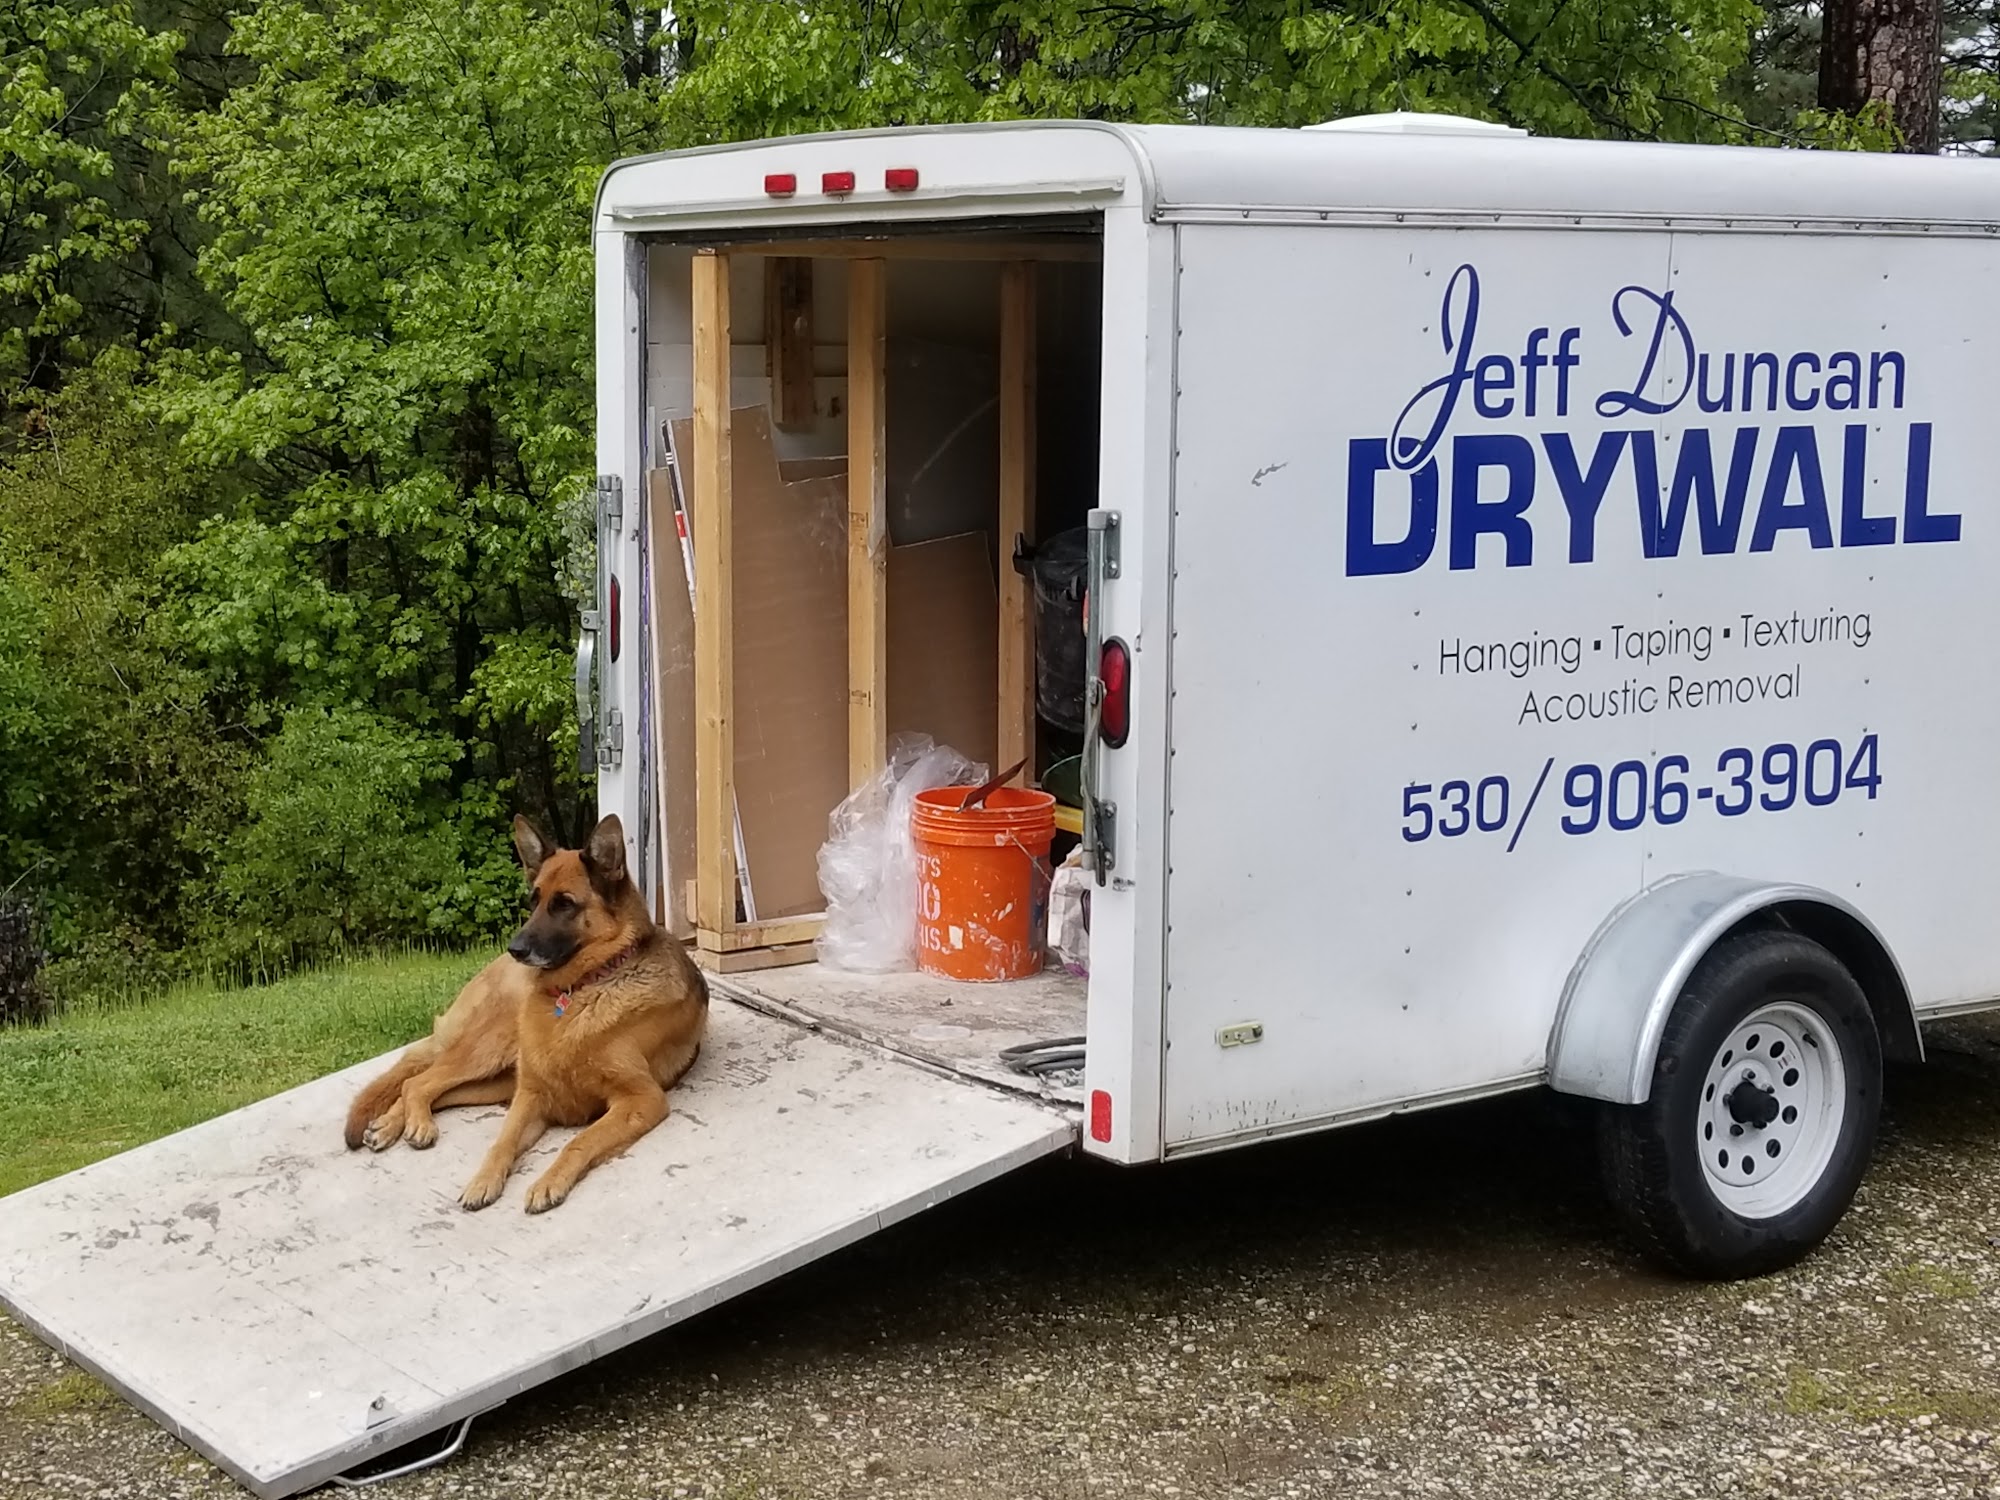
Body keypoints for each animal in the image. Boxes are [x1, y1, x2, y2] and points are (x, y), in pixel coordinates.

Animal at [458, 812, 709, 1214]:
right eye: (534, 901)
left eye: (564, 904)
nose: (515, 949)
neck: (584, 987)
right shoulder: (529, 1095)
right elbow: (503, 1141)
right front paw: (483, 1179)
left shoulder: (640, 1099)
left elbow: (580, 1140)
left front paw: (548, 1181)